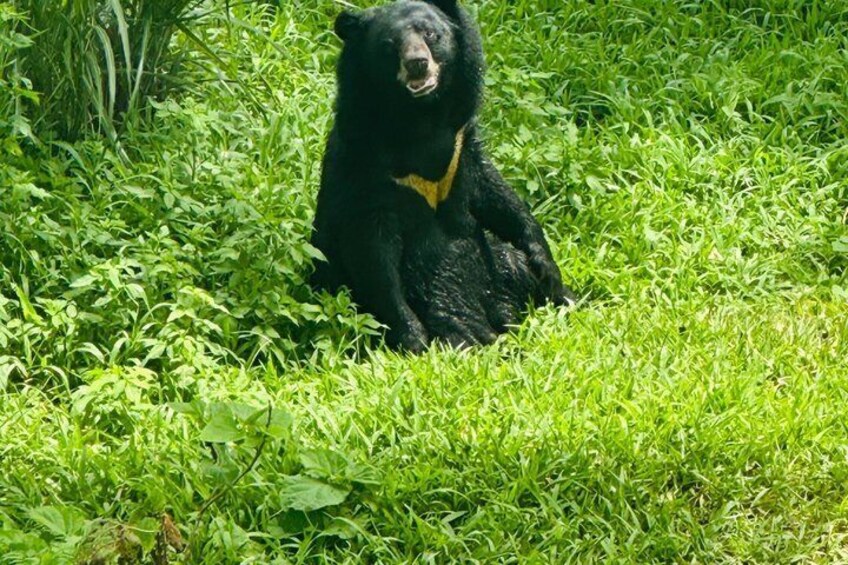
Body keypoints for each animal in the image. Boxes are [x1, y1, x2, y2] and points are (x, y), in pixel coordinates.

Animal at [310, 0, 574, 353]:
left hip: (496, 262)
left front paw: (547, 269)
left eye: (431, 34)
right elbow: (372, 253)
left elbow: (497, 196)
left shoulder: (462, 146)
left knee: (511, 263)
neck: (422, 119)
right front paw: (413, 336)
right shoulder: (367, 170)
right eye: (389, 45)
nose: (417, 64)